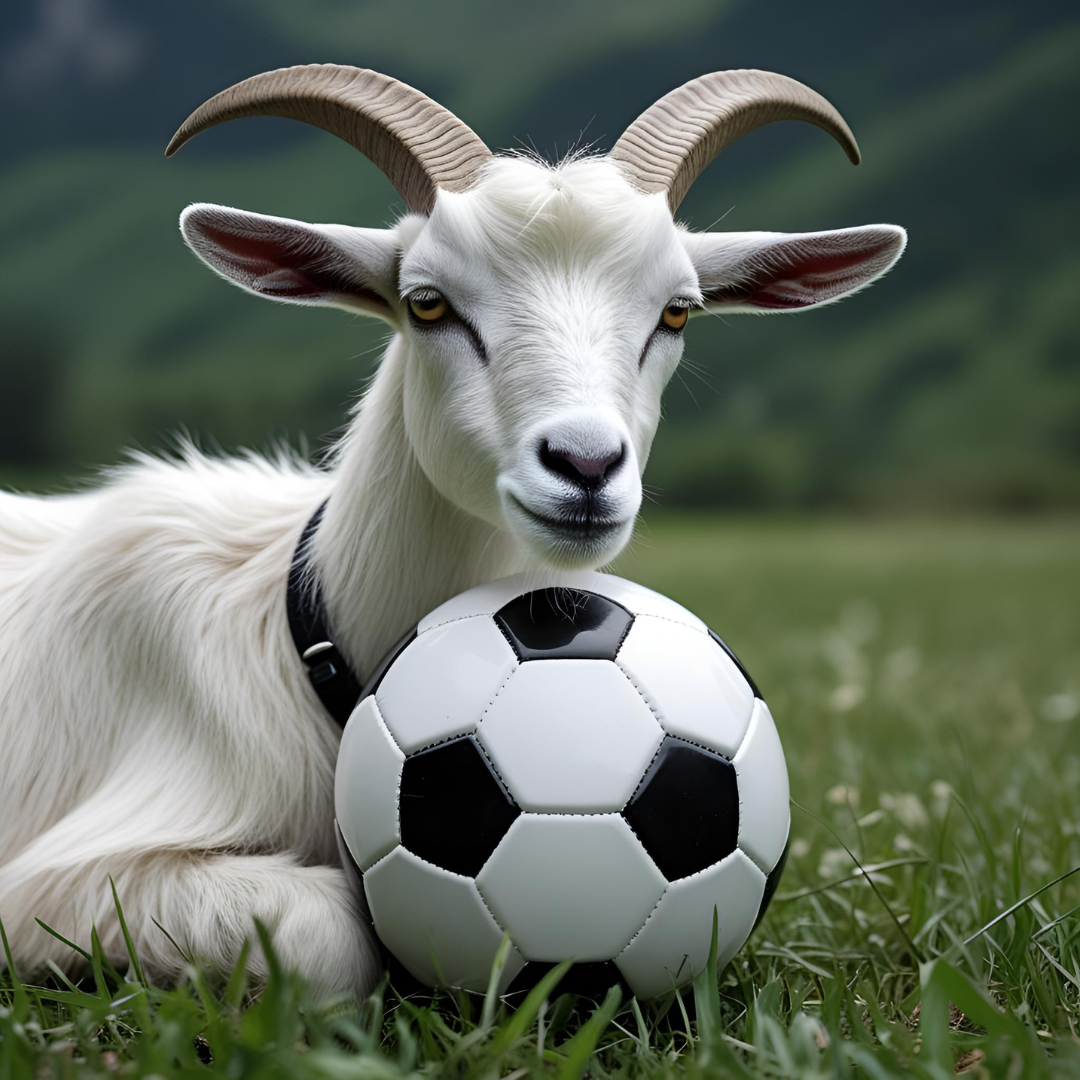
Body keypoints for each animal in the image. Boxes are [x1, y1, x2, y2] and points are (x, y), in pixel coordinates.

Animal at [0, 65, 906, 997]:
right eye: (427, 303)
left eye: (678, 312)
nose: (585, 465)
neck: (297, 629)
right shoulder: (54, 885)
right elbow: (331, 933)